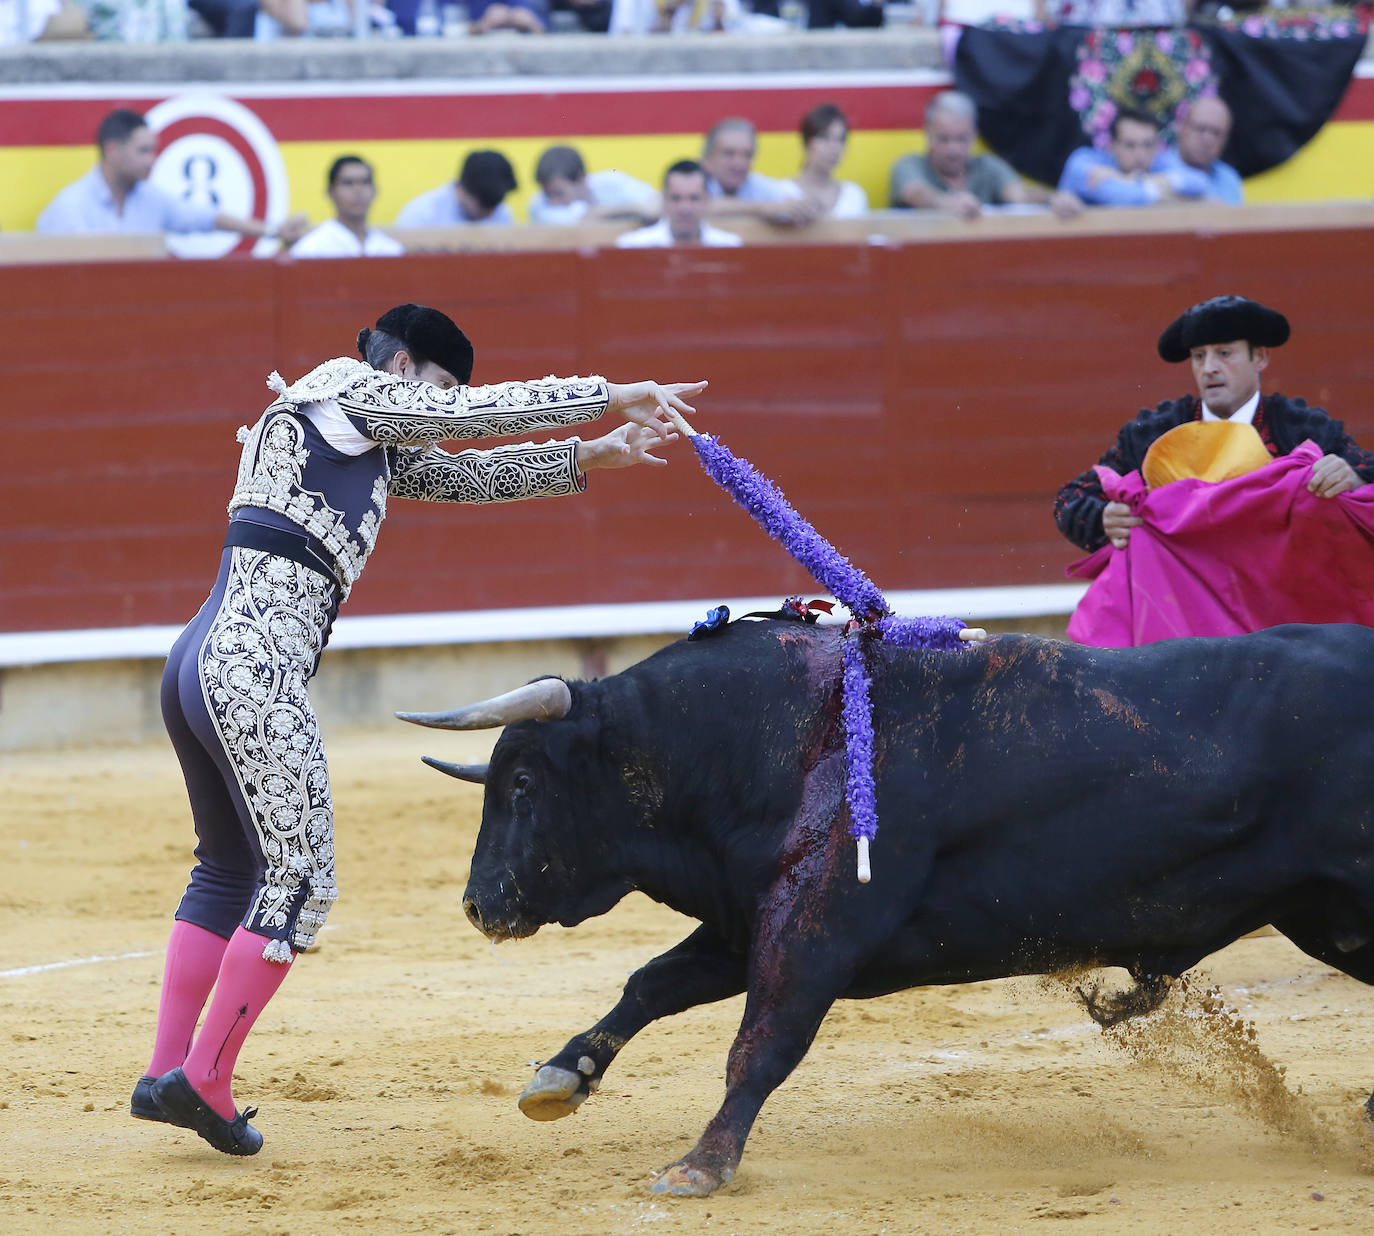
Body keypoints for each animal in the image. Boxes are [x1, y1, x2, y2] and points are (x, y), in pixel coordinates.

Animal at [401, 618, 1374, 1197]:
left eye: (523, 783)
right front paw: (559, 1078)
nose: (478, 905)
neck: (766, 739)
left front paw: (701, 1166)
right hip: (1325, 915)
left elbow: (762, 1041)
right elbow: (652, 984)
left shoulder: (818, 931)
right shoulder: (752, 919)